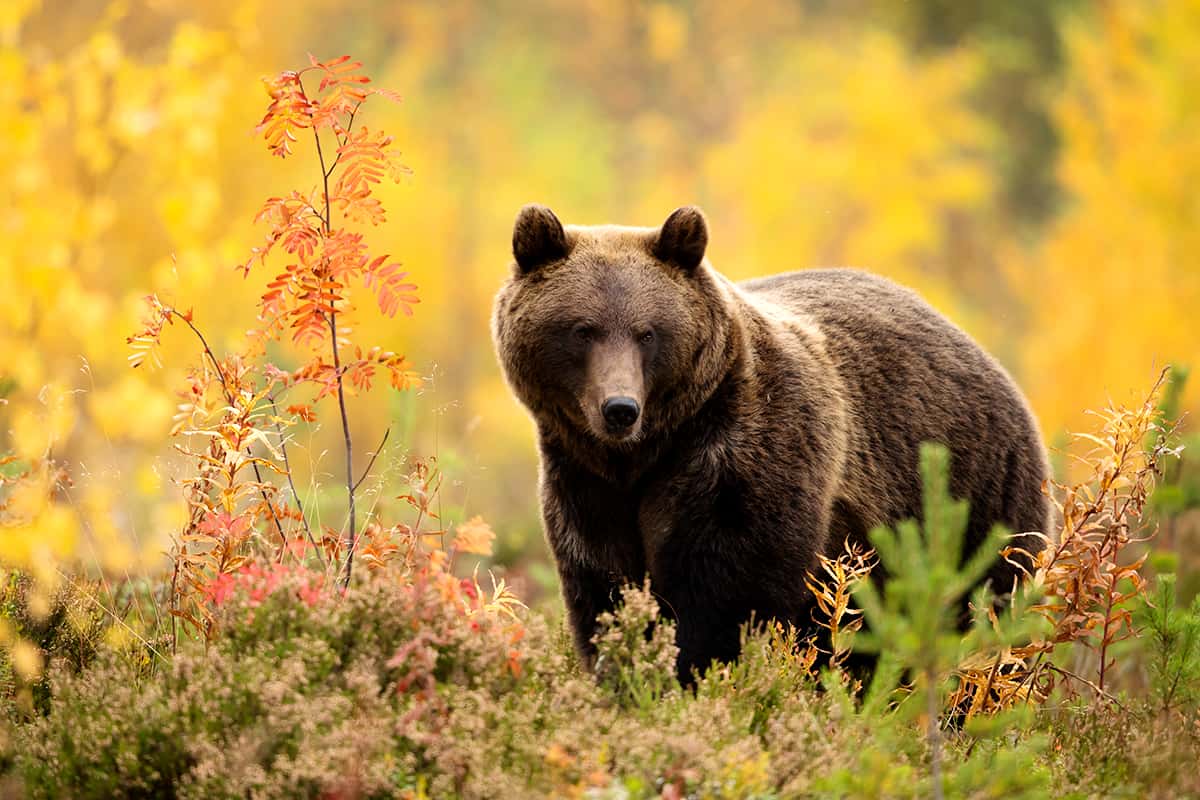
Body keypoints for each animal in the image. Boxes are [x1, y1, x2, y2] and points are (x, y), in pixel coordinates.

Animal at [492, 205, 1046, 681]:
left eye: (648, 332)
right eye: (583, 329)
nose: (620, 408)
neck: (646, 453)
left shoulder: (743, 459)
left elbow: (726, 595)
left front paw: (696, 672)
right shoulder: (586, 482)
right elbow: (603, 588)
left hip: (975, 502)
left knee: (987, 611)